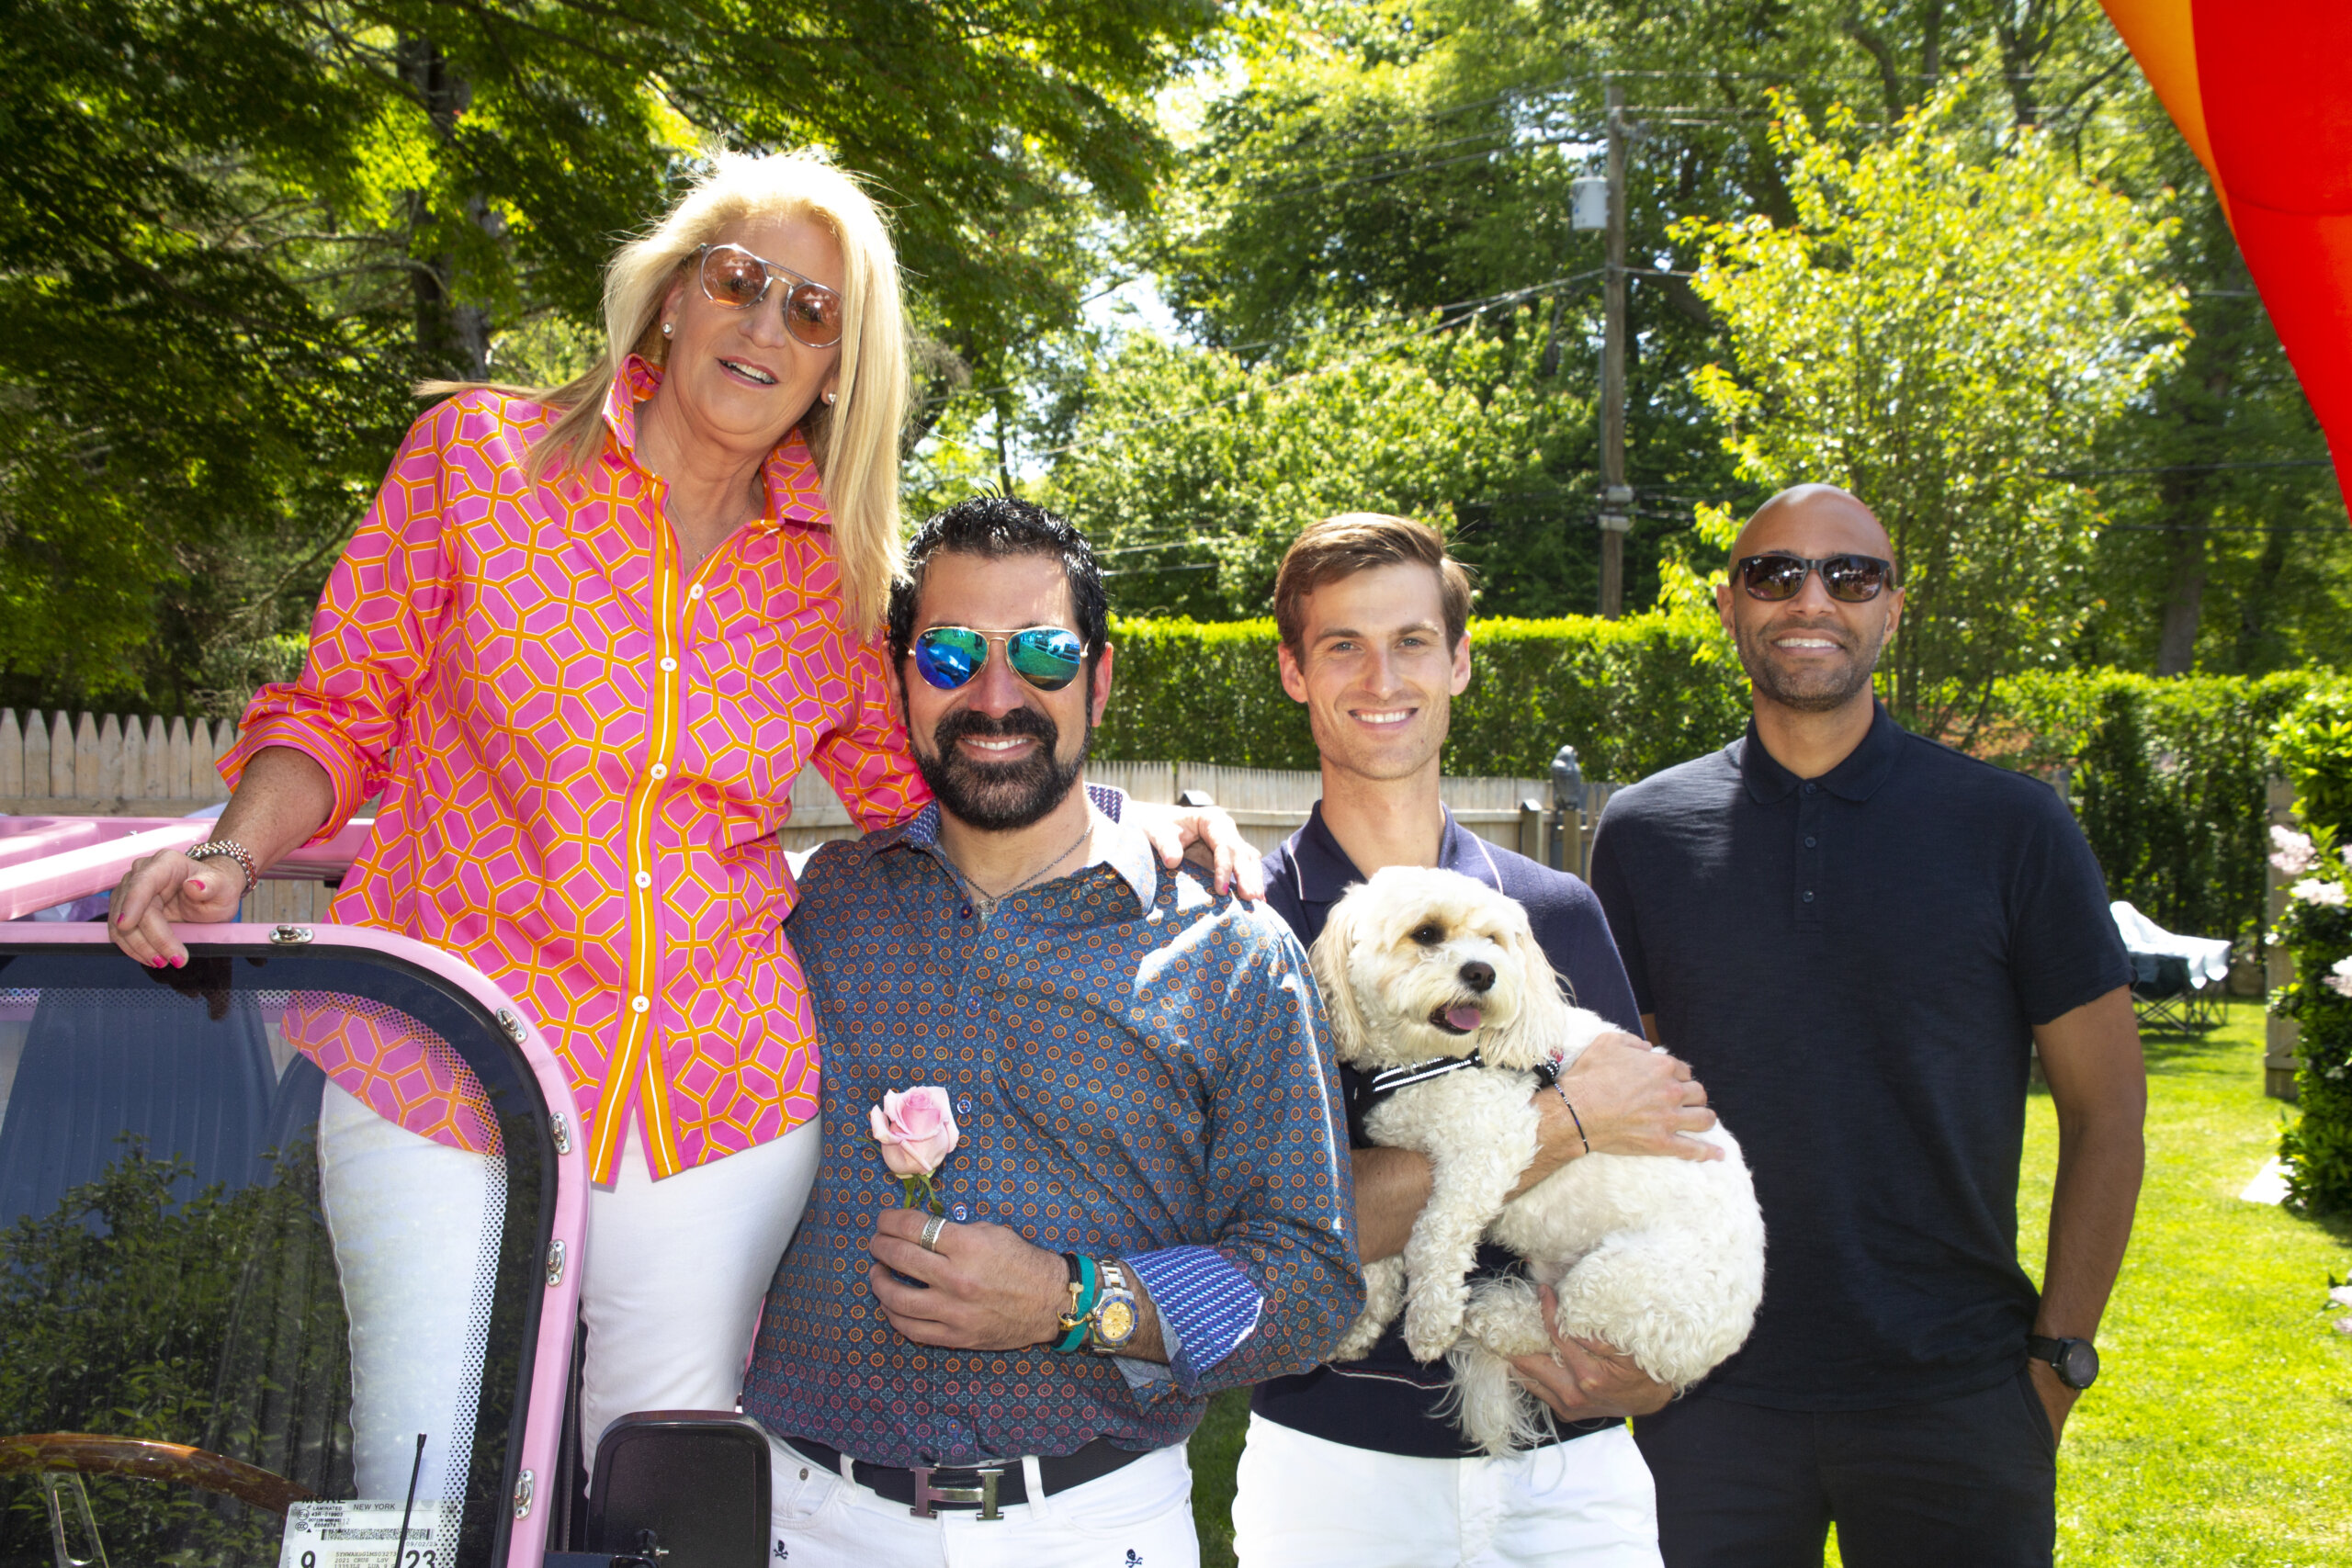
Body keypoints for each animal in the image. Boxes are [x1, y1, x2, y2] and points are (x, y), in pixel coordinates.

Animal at [1317, 864, 1758, 1457]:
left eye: (1493, 940)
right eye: (1426, 933)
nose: (1482, 972)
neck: (1432, 1062)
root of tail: (1723, 1343)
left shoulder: (1493, 1144)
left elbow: (1434, 1232)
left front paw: (1430, 1318)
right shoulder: (1397, 1156)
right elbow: (1383, 1253)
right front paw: (1364, 1319)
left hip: (1622, 1282)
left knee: (1558, 1330)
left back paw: (1489, 1318)